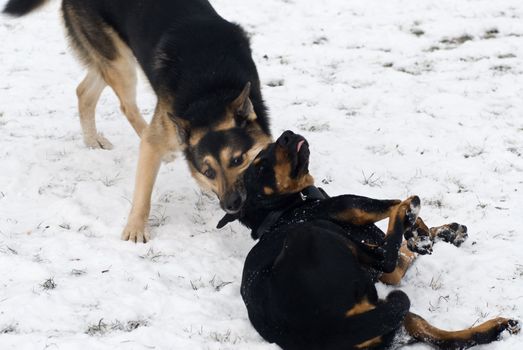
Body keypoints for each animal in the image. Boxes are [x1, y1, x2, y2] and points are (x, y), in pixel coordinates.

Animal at [4, 0, 272, 242]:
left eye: (237, 160)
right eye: (208, 171)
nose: (230, 204)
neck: (209, 93)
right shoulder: (156, 140)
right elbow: (143, 192)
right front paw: (135, 229)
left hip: (110, 60)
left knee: (83, 92)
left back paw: (92, 140)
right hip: (119, 62)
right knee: (126, 106)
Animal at [217, 131, 520, 350]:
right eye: (260, 166)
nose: (286, 135)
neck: (285, 208)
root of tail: (326, 329)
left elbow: (406, 249)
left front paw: (440, 233)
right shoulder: (349, 206)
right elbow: (392, 212)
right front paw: (419, 231)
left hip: (393, 318)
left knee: (446, 339)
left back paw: (497, 327)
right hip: (316, 235)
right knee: (387, 254)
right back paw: (408, 211)